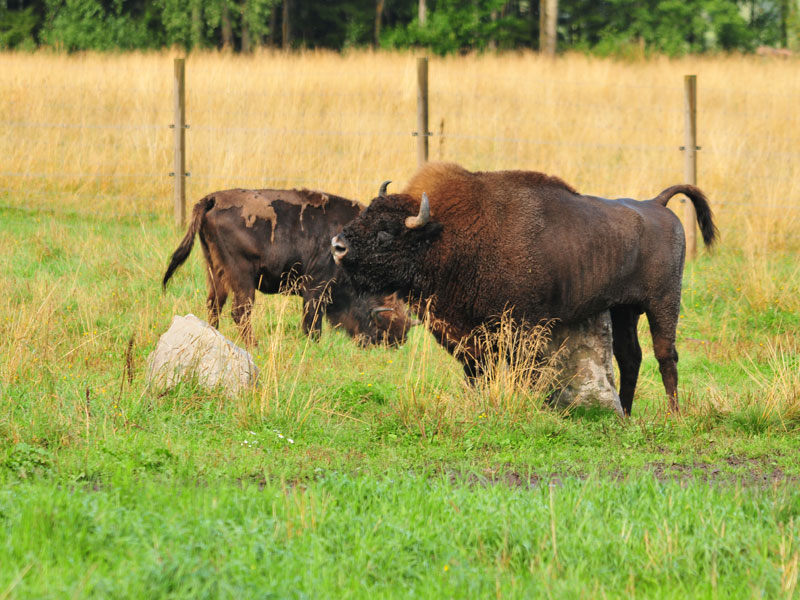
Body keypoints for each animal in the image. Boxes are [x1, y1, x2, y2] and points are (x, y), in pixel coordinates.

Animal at [160, 186, 416, 346]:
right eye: (384, 322)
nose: (394, 343)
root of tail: (212, 200)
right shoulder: (316, 287)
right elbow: (312, 321)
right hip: (243, 278)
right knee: (240, 311)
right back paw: (255, 344)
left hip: (215, 271)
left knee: (214, 305)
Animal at [332, 162, 720, 414]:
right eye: (366, 213)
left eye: (387, 232)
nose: (337, 245)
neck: (447, 236)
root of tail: (656, 204)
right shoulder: (469, 336)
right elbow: (479, 372)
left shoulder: (522, 326)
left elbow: (523, 370)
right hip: (624, 309)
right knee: (630, 356)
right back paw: (625, 412)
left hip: (663, 303)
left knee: (665, 355)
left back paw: (673, 414)